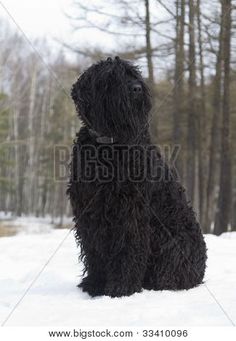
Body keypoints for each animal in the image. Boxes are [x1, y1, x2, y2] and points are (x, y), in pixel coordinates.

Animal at [68, 57, 206, 296]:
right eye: (111, 77)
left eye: (133, 74)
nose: (137, 89)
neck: (109, 146)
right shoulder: (88, 211)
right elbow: (94, 250)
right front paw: (95, 283)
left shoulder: (130, 212)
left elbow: (127, 250)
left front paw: (121, 287)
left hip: (173, 242)